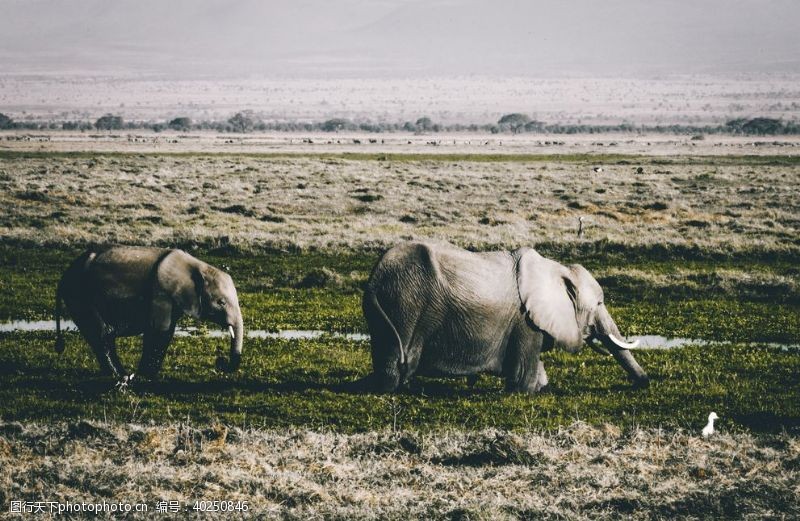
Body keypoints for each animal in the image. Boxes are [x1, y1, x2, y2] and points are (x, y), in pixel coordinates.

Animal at [54, 246, 242, 380]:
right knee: (101, 334)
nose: (220, 362)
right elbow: (161, 331)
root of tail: (64, 277)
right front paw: (146, 376)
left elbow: (165, 332)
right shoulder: (161, 292)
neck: (197, 266)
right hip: (80, 295)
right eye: (221, 302)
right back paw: (121, 375)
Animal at [362, 242, 648, 392]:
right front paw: (529, 390)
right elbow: (523, 378)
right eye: (598, 303)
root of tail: (375, 278)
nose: (643, 383)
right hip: (404, 306)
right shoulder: (526, 322)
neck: (556, 269)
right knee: (395, 369)